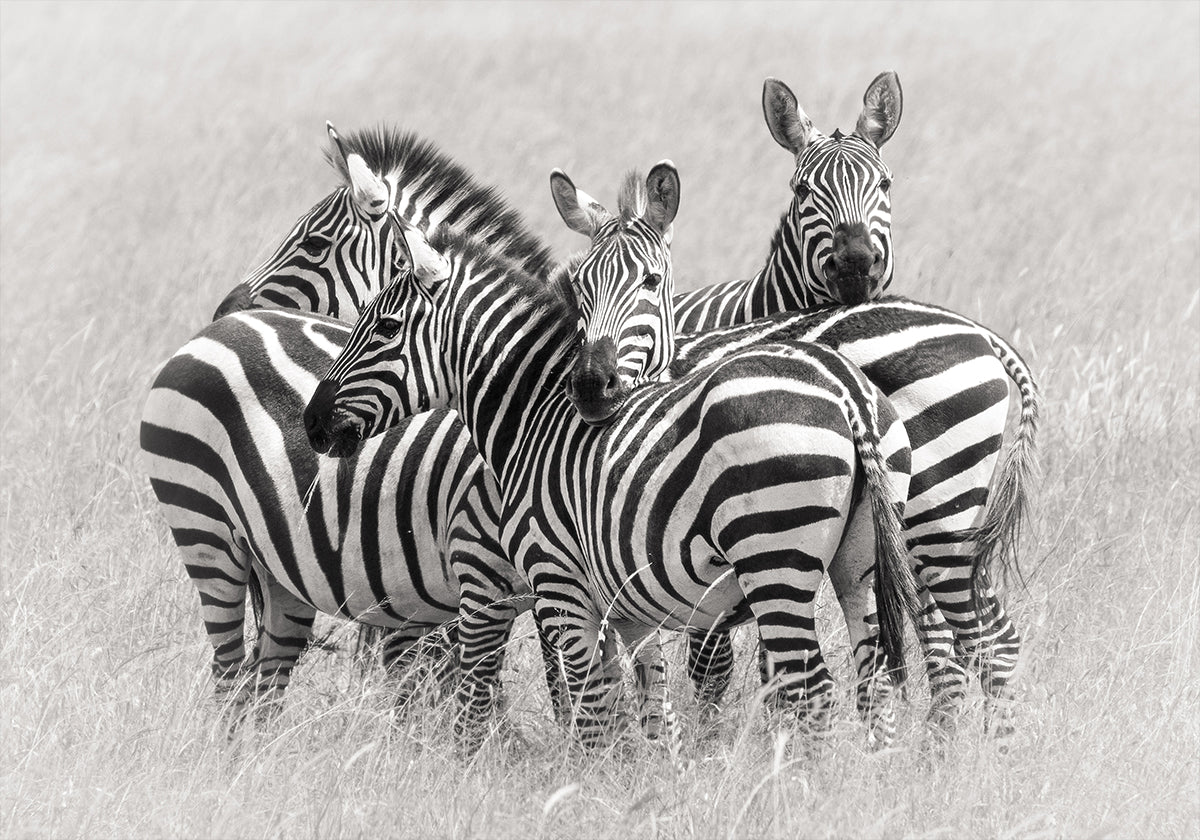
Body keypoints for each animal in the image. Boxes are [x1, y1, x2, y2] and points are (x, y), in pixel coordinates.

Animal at [303, 204, 921, 747]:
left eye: (385, 327)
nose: (310, 422)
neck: (533, 418)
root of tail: (845, 389)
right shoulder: (627, 607)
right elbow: (646, 708)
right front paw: (648, 785)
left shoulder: (559, 586)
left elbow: (591, 709)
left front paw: (589, 785)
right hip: (858, 565)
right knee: (872, 683)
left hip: (775, 561)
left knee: (812, 690)